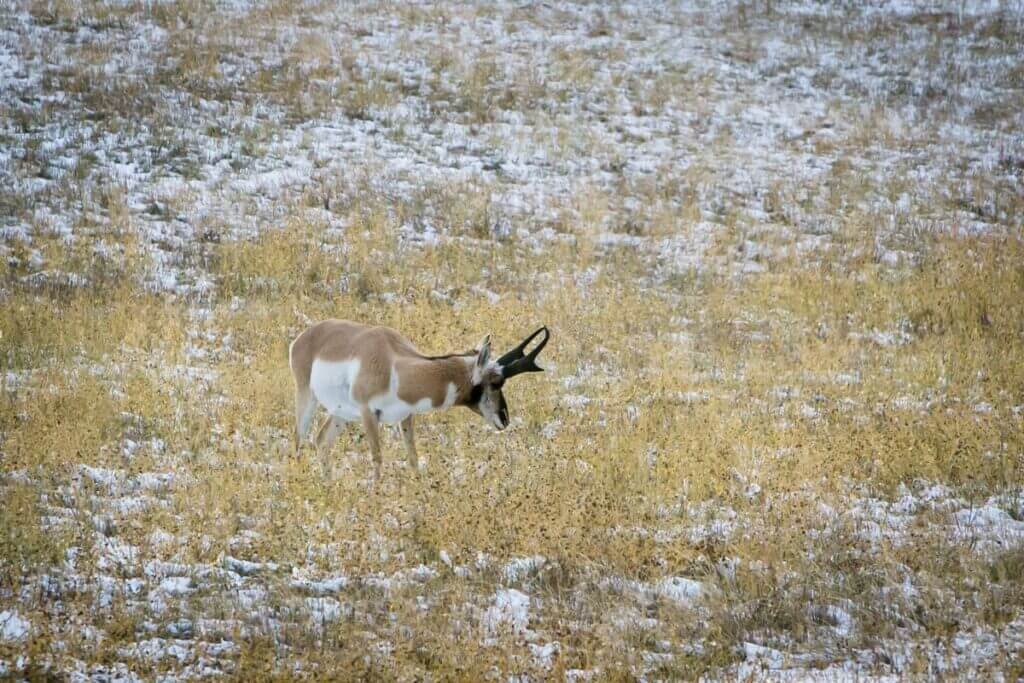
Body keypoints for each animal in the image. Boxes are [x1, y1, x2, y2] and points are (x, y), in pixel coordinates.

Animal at [288, 323, 548, 479]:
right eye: (496, 382)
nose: (504, 419)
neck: (394, 365)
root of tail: (304, 336)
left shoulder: (405, 417)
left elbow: (413, 458)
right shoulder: (368, 414)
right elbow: (378, 457)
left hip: (341, 414)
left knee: (321, 440)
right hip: (307, 398)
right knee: (298, 440)